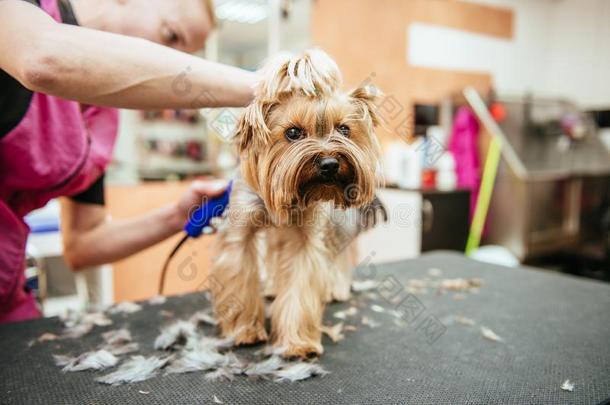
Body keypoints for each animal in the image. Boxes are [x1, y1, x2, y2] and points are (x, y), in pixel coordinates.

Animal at [208, 49, 380, 356]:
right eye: (293, 133)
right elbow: (240, 275)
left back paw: (336, 287)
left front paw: (297, 343)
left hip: (338, 223)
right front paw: (245, 331)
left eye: (344, 129)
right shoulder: (240, 229)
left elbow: (302, 282)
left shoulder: (306, 236)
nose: (329, 163)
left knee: (339, 253)